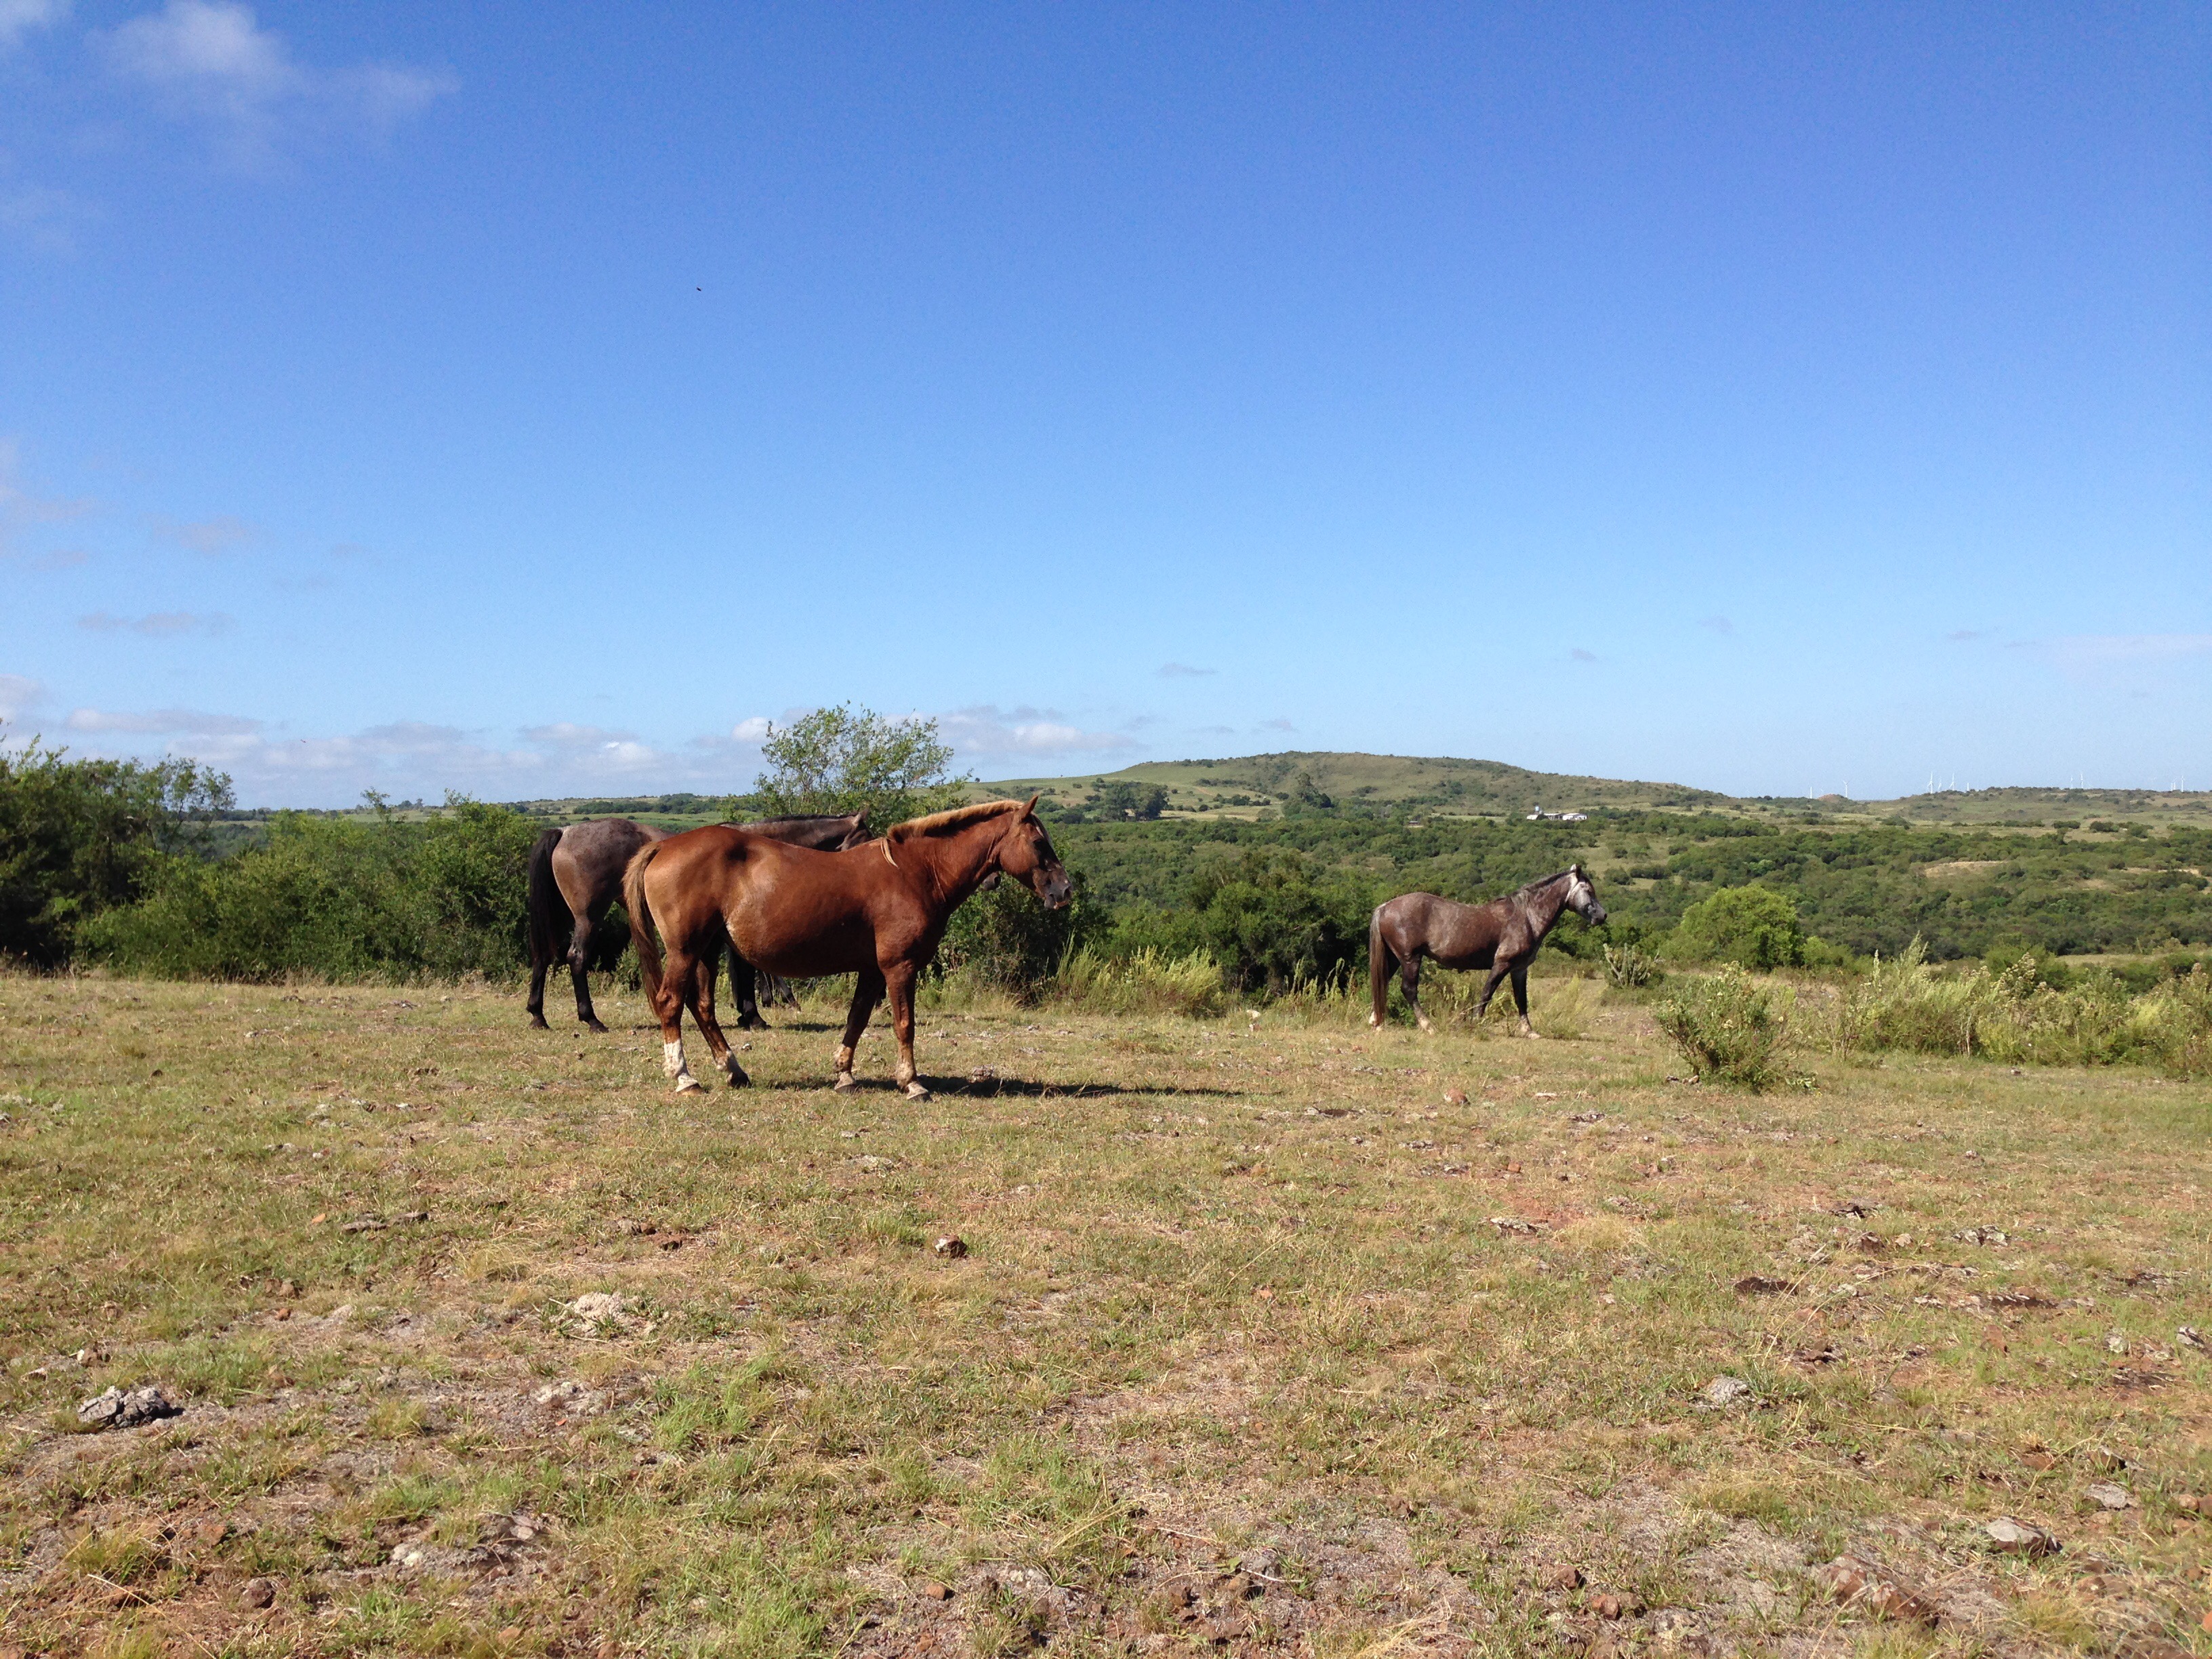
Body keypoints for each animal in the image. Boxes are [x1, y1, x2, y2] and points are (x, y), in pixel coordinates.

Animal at [526, 812, 866, 1032]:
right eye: (867, 836)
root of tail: (565, 831)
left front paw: (749, 1012)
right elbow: (748, 970)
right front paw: (755, 1015)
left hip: (563, 916)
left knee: (543, 956)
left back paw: (538, 1016)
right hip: (589, 917)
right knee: (577, 957)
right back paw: (591, 1019)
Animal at [622, 797, 1070, 1097]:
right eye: (1038, 843)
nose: (1064, 890)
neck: (916, 873)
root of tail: (665, 846)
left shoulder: (872, 970)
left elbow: (856, 1019)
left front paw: (844, 1076)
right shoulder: (899, 967)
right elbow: (904, 1024)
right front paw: (912, 1083)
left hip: (708, 951)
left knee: (702, 1007)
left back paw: (734, 1071)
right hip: (685, 951)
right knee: (670, 1003)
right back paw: (685, 1078)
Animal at [1368, 865, 1606, 1036]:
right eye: (1588, 891)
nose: (1602, 916)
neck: (1526, 916)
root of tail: (1385, 907)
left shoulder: (1519, 969)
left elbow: (1521, 999)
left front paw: (1529, 1031)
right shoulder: (1502, 964)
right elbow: (1487, 993)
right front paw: (1476, 1023)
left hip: (1395, 958)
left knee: (1383, 982)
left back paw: (1376, 1022)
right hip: (1411, 959)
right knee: (1409, 990)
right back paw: (1428, 1026)